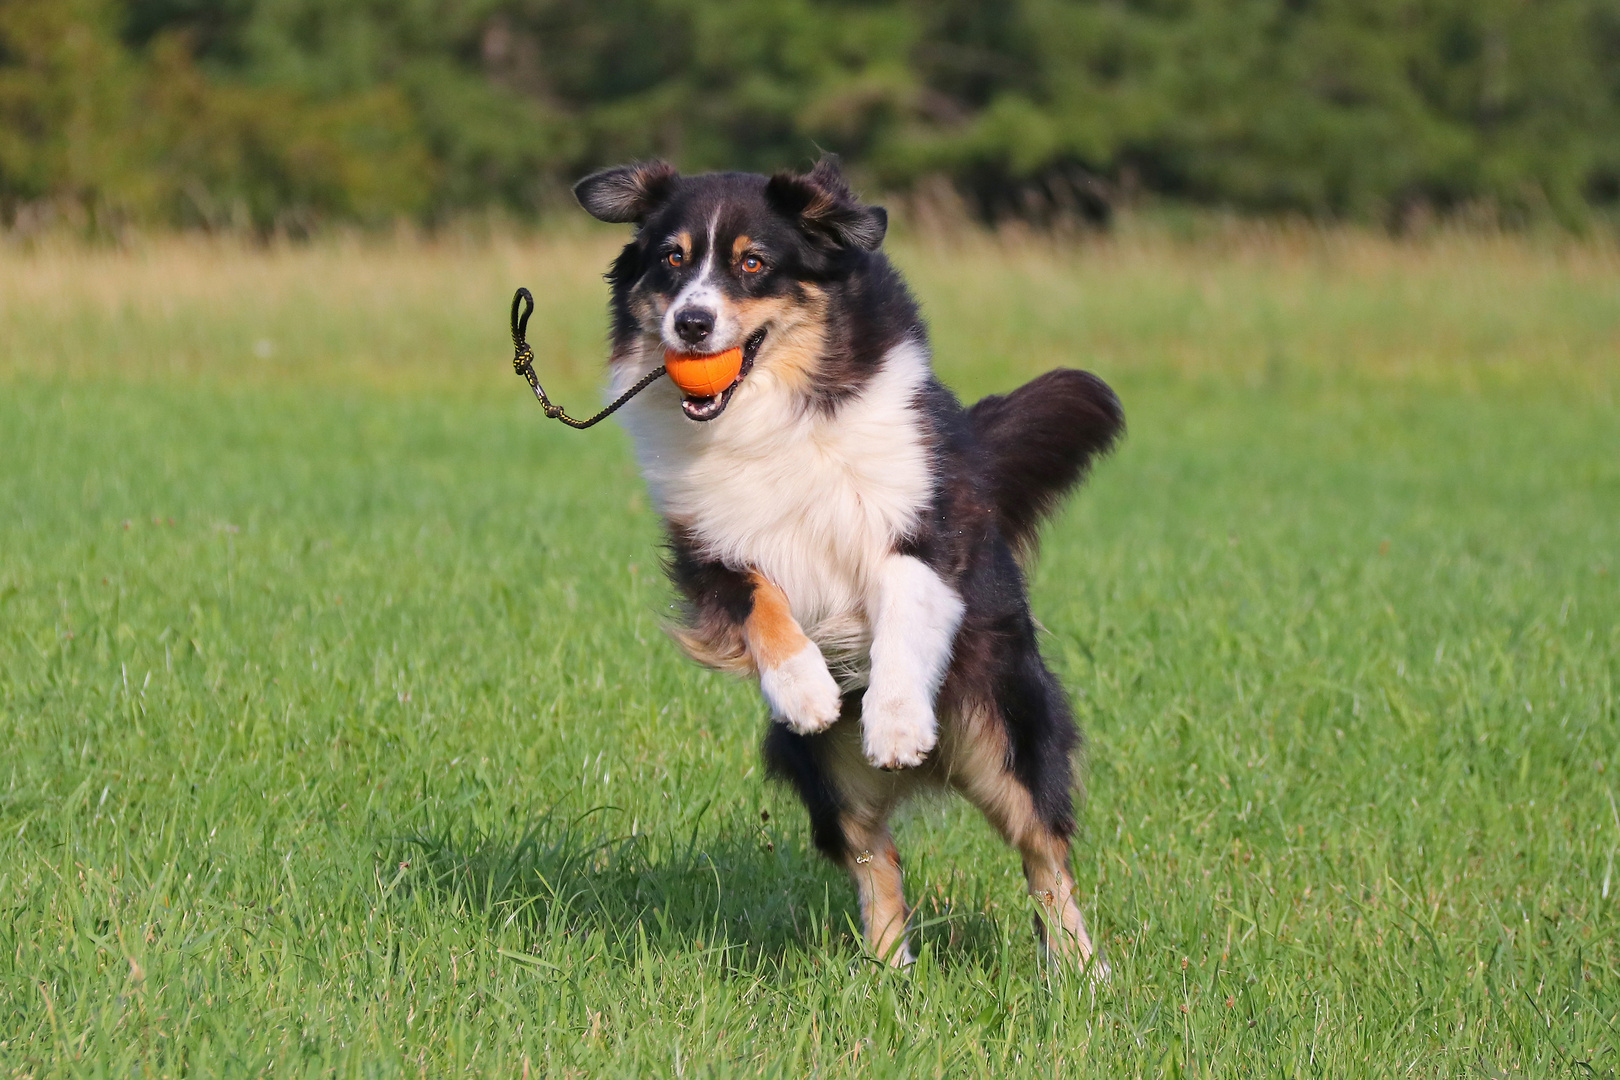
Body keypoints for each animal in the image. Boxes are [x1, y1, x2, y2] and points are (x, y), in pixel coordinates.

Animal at [576, 153, 1121, 971]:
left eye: (753, 263)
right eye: (671, 259)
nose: (691, 323)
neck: (772, 407)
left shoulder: (922, 522)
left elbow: (901, 605)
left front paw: (894, 723)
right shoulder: (707, 545)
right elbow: (761, 602)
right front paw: (805, 688)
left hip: (1004, 732)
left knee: (1043, 853)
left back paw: (1085, 973)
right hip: (826, 775)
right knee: (876, 858)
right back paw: (886, 976)